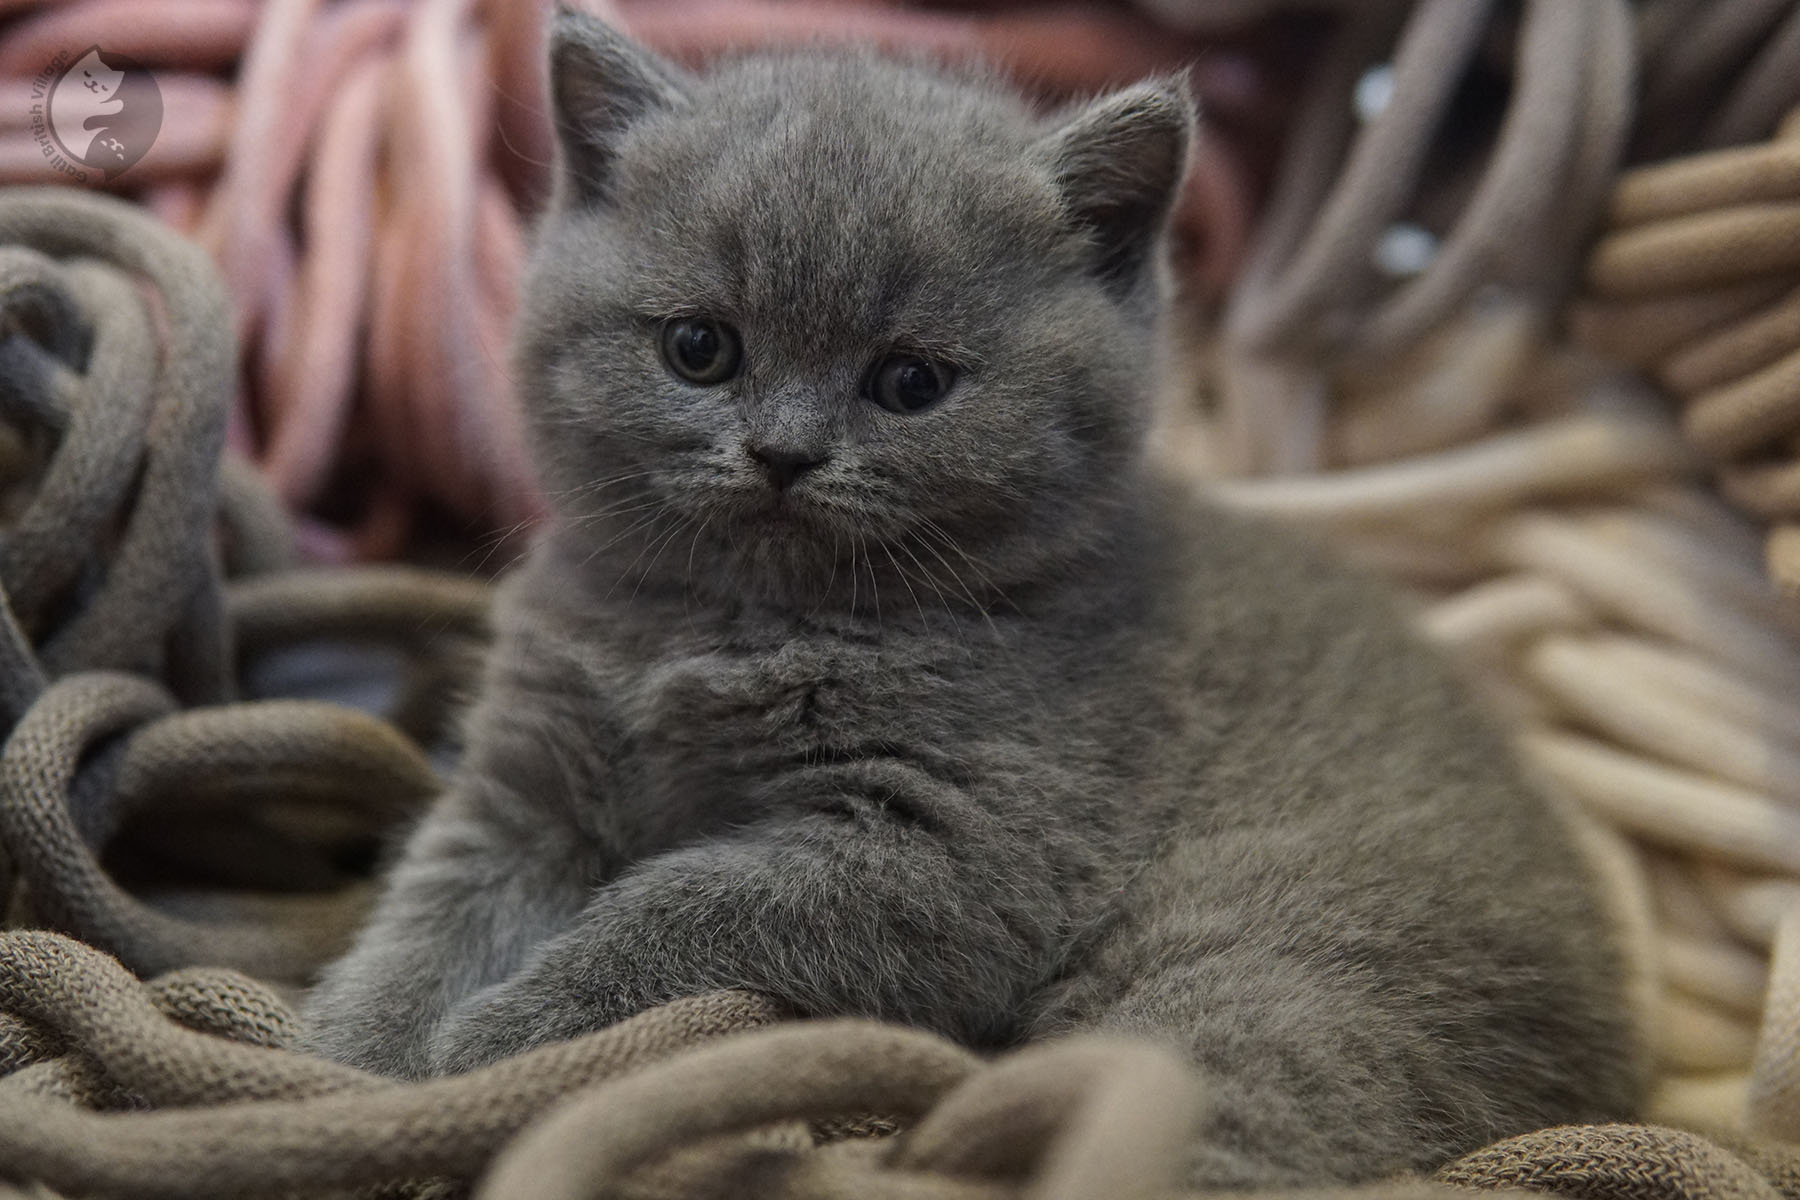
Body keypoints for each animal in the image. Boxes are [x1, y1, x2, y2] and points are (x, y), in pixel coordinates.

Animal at [313, 9, 1648, 1187]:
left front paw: (504, 1040)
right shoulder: (525, 783)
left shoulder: (962, 855)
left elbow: (684, 907)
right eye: (700, 348)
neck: (737, 622)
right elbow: (431, 911)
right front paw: (344, 1066)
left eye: (910, 382)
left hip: (1265, 981)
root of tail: (1618, 1062)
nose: (784, 453)